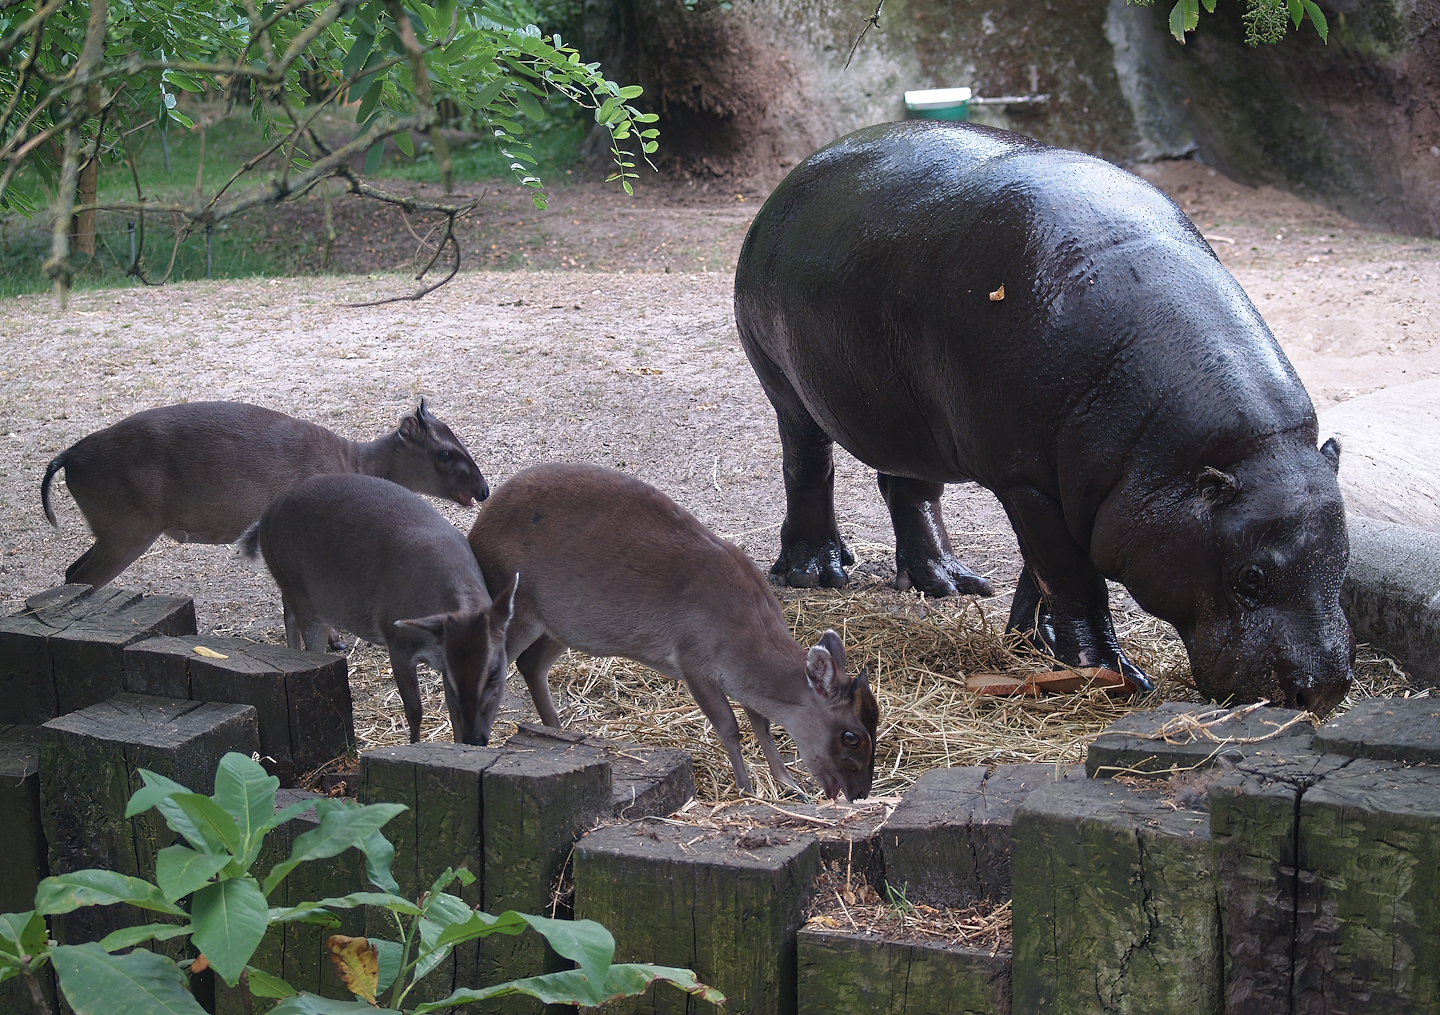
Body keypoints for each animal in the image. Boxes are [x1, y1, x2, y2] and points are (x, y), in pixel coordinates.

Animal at [734, 120, 1354, 714]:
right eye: (1251, 577)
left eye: (1345, 562)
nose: (1324, 691)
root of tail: (792, 178)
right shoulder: (1028, 480)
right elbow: (1072, 575)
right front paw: (1108, 673)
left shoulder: (1069, 486)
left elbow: (1042, 572)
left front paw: (1035, 645)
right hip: (785, 385)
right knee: (808, 466)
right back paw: (816, 574)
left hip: (909, 419)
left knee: (909, 488)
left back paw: (952, 584)